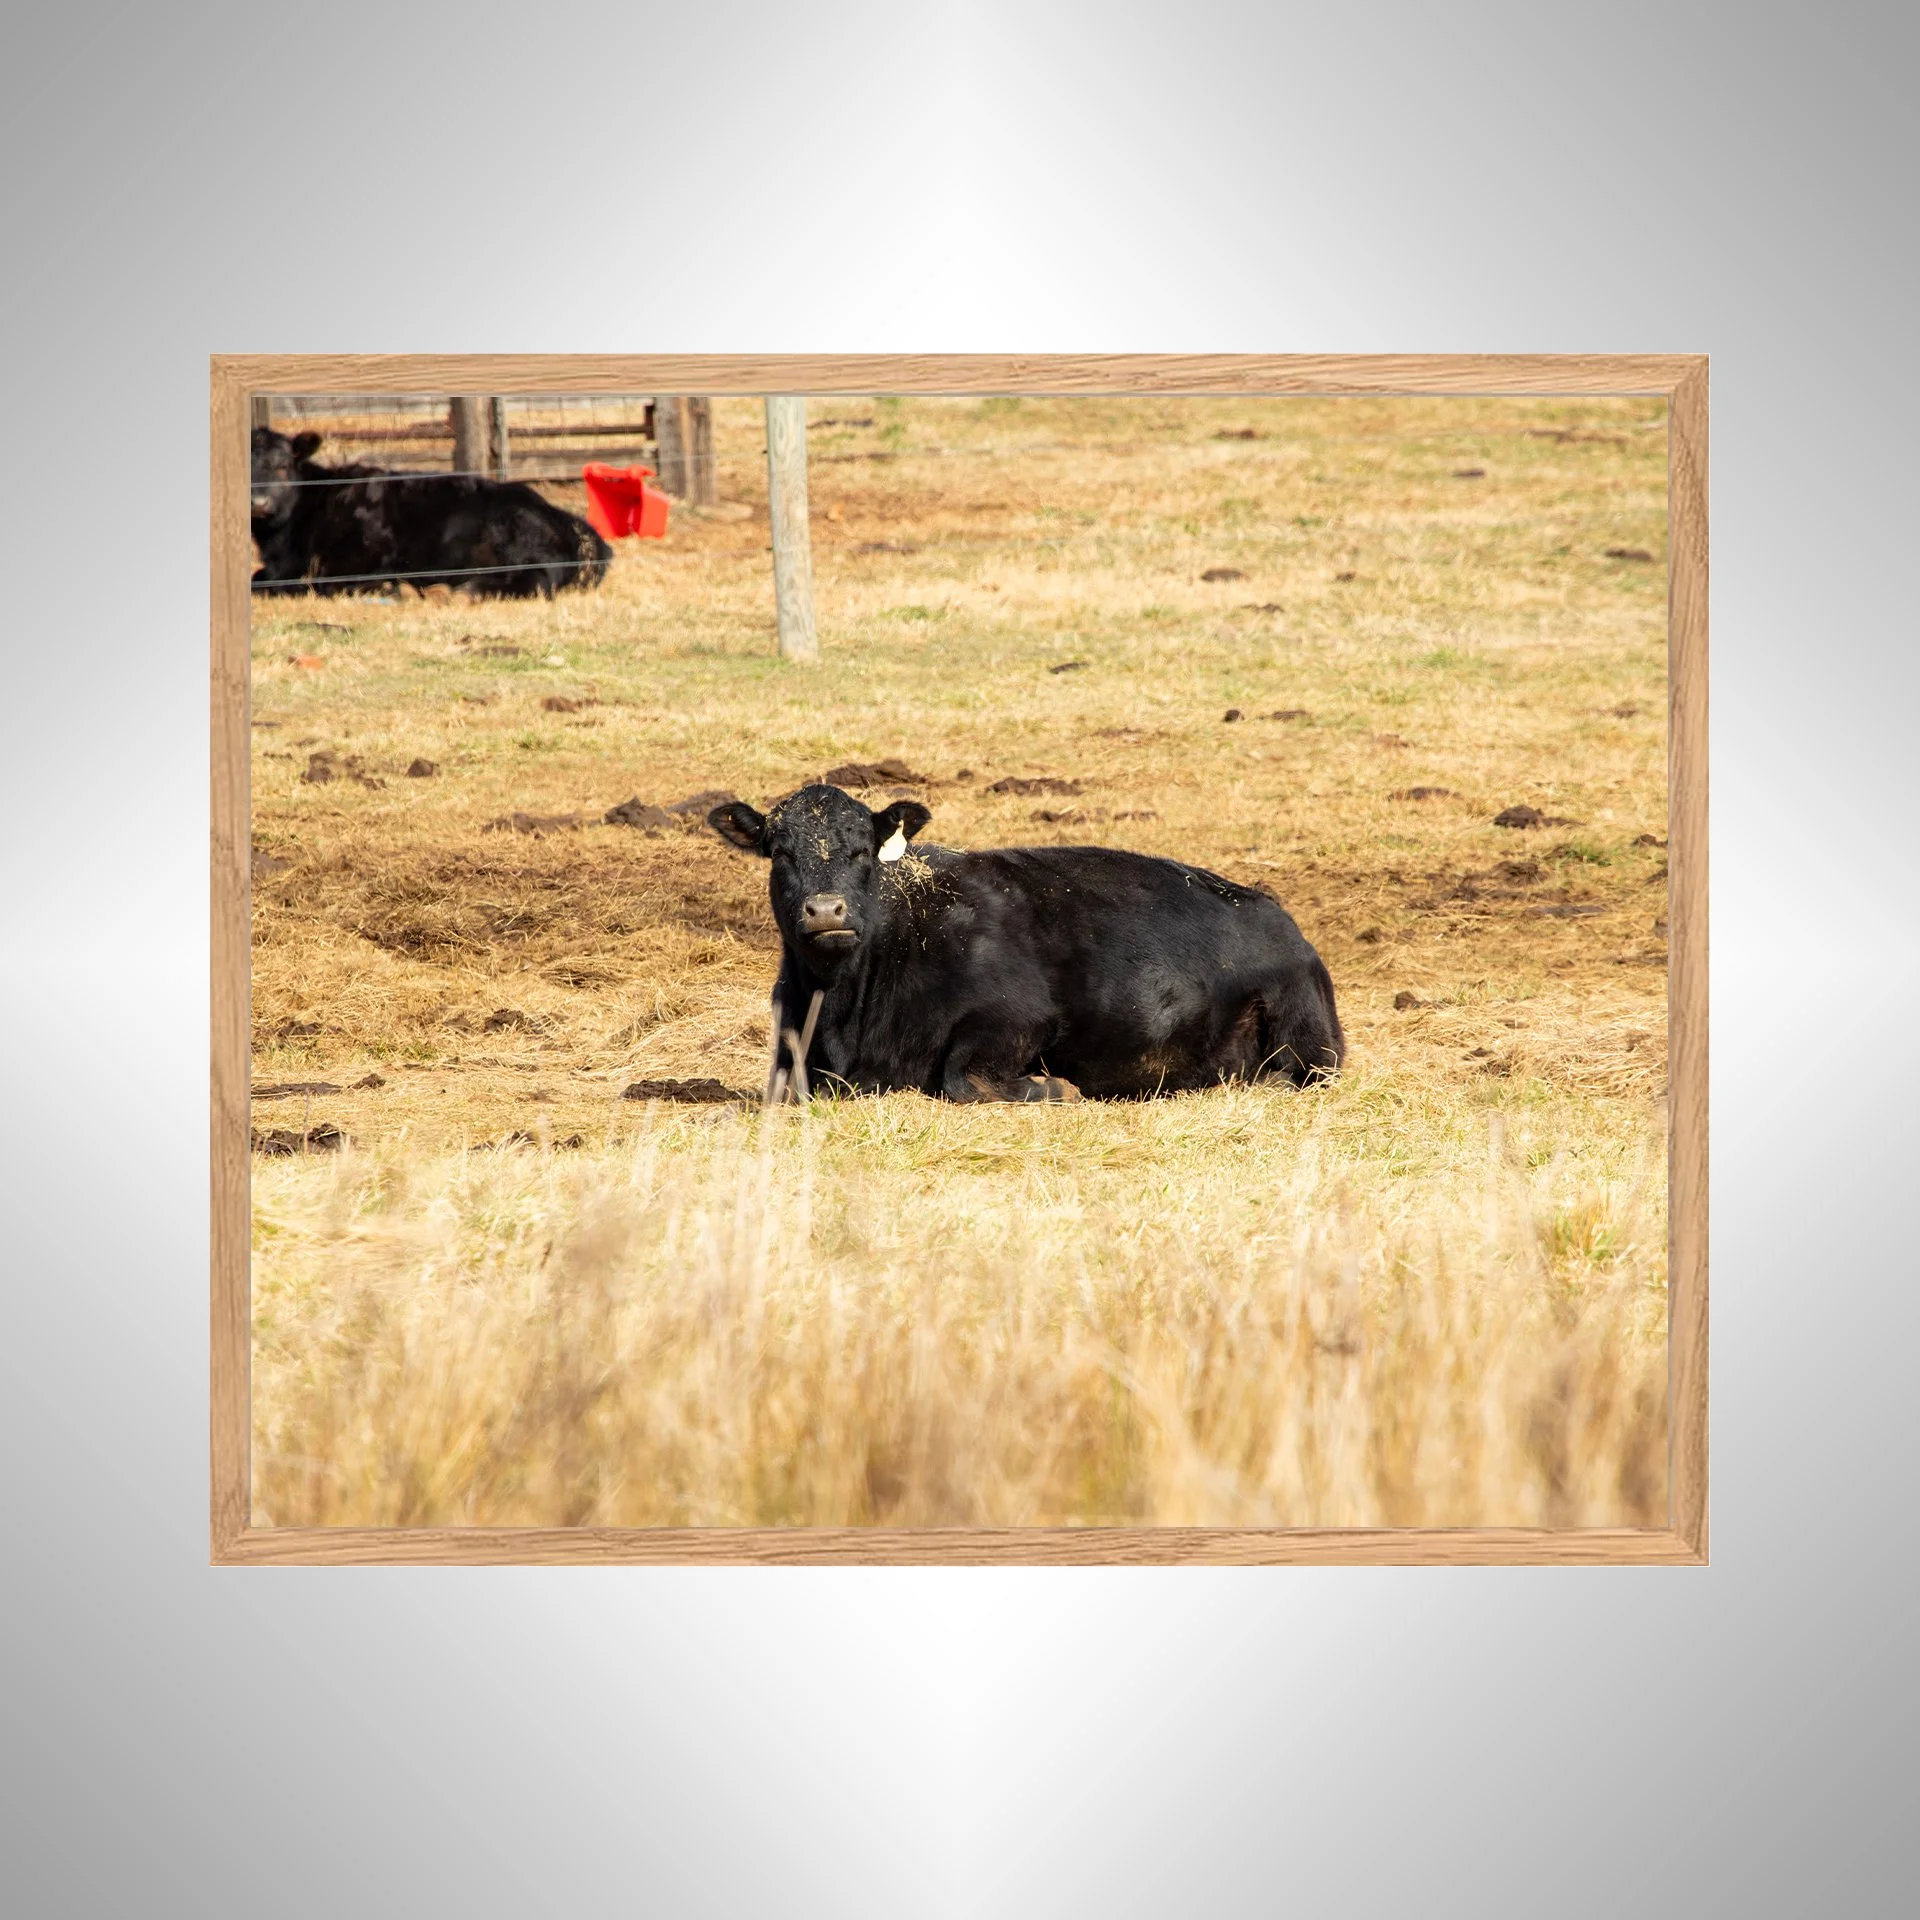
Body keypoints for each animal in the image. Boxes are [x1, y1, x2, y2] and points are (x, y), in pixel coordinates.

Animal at [708, 783, 1344, 1101]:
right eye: (779, 853)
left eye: (863, 850)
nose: (825, 910)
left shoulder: (1018, 1017)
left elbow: (961, 1078)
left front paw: (1055, 1086)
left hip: (1307, 1036)